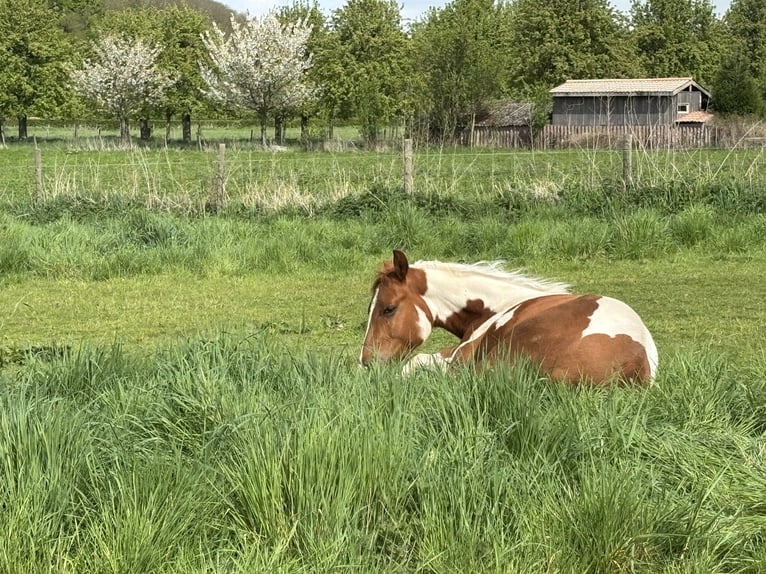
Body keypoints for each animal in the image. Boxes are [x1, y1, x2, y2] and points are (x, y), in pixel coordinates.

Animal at [360, 250, 658, 385]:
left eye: (388, 308)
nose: (366, 362)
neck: (495, 307)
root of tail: (635, 364)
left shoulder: (462, 354)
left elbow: (414, 362)